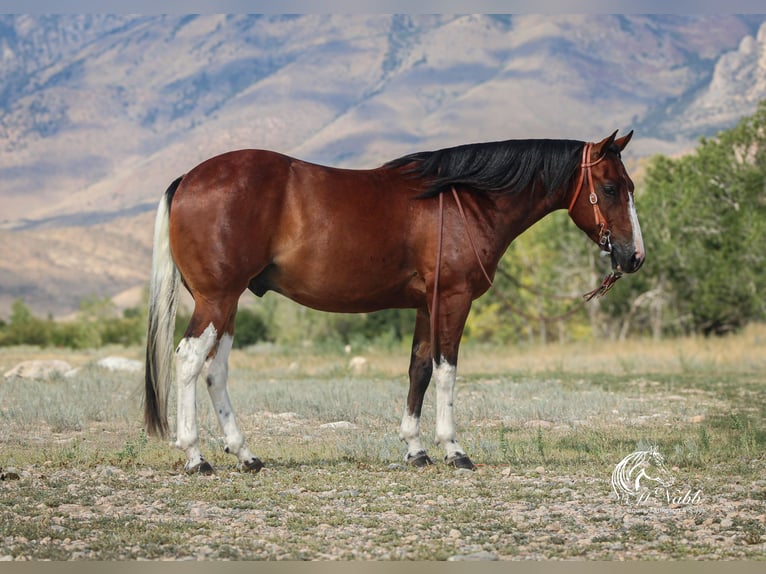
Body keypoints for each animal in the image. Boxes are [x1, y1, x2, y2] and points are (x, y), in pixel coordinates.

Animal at [144, 130, 644, 474]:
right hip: (216, 299)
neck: (464, 200)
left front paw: (416, 449)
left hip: (227, 304)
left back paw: (245, 455)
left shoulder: (427, 305)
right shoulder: (453, 299)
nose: (633, 256)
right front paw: (454, 449)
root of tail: (189, 178)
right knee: (189, 360)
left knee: (216, 370)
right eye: (612, 187)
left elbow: (418, 368)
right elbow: (446, 370)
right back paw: (195, 456)